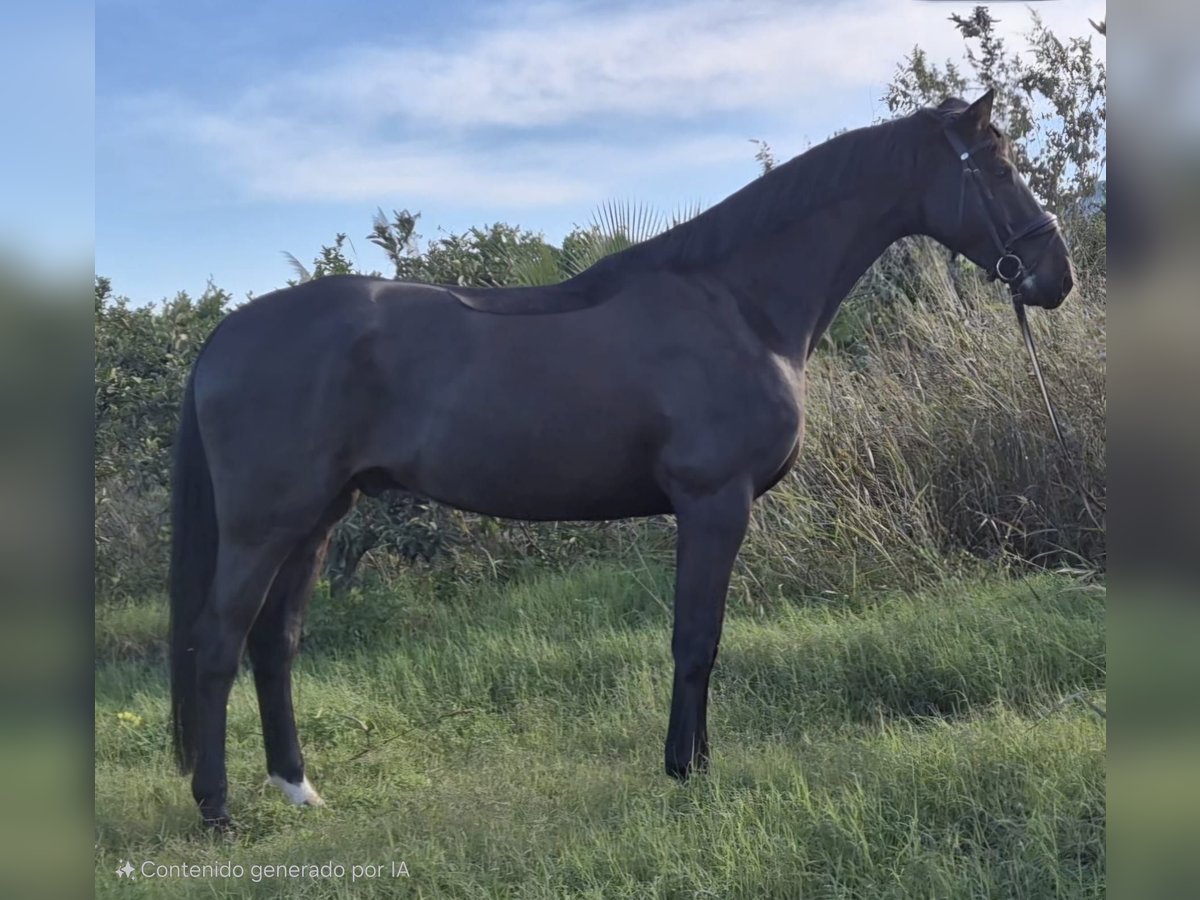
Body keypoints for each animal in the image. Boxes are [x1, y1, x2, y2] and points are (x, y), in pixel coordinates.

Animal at [166, 91, 1070, 830]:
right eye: (999, 166)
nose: (1054, 275)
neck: (737, 302)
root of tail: (225, 336)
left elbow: (704, 639)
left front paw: (693, 761)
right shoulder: (714, 502)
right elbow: (696, 640)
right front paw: (686, 771)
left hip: (319, 516)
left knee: (275, 644)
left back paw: (298, 789)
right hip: (264, 524)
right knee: (218, 641)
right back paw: (216, 810)